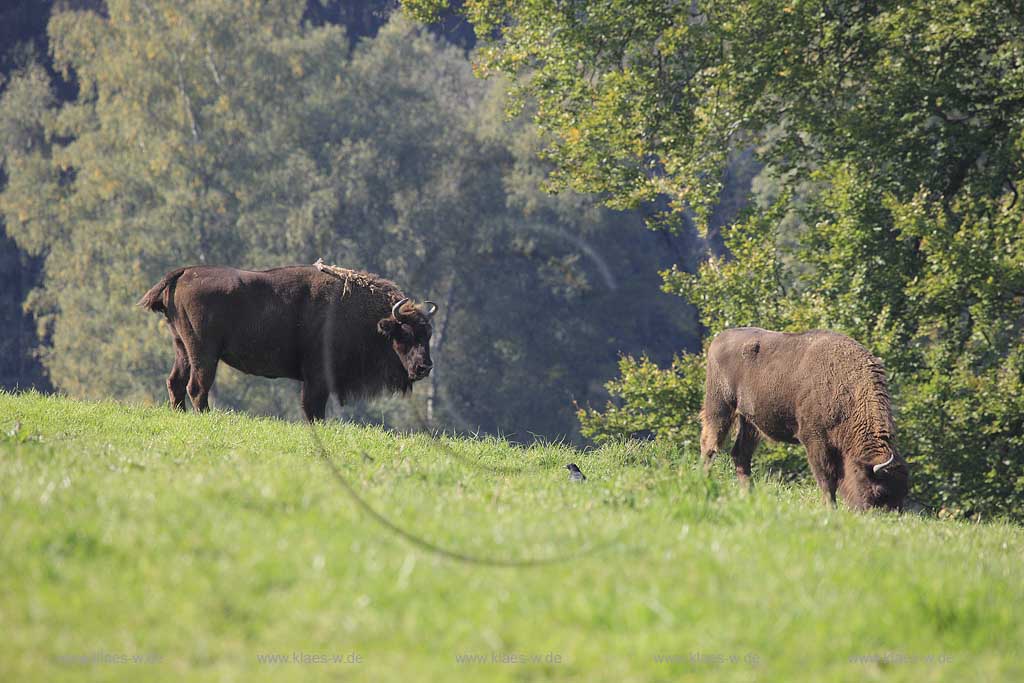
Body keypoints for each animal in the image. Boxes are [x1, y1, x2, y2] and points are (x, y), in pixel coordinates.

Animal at [140, 264, 436, 419]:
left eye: (428, 334)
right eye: (405, 334)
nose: (425, 367)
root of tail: (185, 272)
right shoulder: (317, 377)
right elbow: (313, 407)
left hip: (181, 347)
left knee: (176, 382)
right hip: (203, 353)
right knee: (197, 387)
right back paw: (206, 416)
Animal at [700, 327, 909, 509]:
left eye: (903, 491)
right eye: (880, 491)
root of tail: (718, 339)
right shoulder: (815, 440)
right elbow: (826, 478)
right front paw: (830, 508)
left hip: (750, 422)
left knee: (741, 455)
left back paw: (749, 496)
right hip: (719, 407)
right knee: (710, 445)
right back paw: (705, 483)